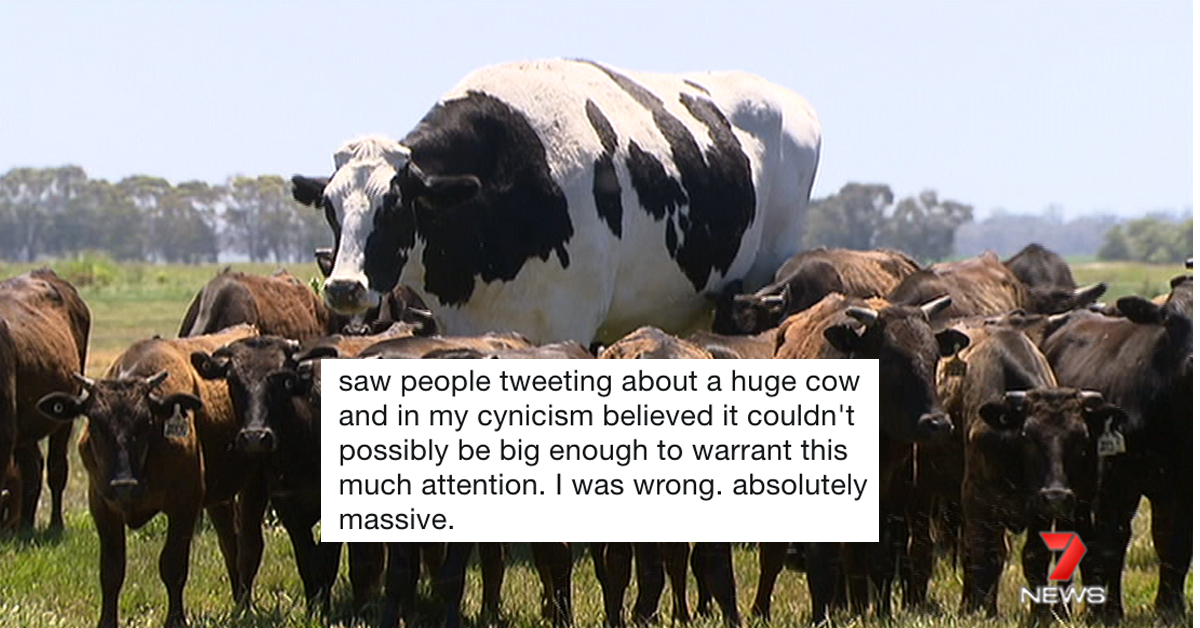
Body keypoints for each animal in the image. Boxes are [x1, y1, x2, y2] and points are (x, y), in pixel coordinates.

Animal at [36, 324, 263, 628]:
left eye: (145, 421)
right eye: (95, 422)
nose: (123, 483)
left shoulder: (184, 505)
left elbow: (173, 565)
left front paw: (176, 620)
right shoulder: (102, 506)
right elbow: (111, 571)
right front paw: (106, 622)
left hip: (253, 485)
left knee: (248, 544)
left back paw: (245, 605)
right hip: (220, 499)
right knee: (230, 542)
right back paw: (239, 603)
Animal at [767, 293, 967, 623]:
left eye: (935, 357)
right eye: (888, 361)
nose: (937, 423)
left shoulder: (893, 497)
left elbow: (880, 558)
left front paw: (882, 613)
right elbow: (822, 559)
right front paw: (820, 617)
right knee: (773, 555)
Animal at [1042, 295, 1193, 621]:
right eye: (1170, 320)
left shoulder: (1180, 487)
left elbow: (1175, 542)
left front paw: (1170, 607)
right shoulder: (1117, 483)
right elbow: (1113, 540)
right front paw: (1109, 612)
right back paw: (1064, 606)